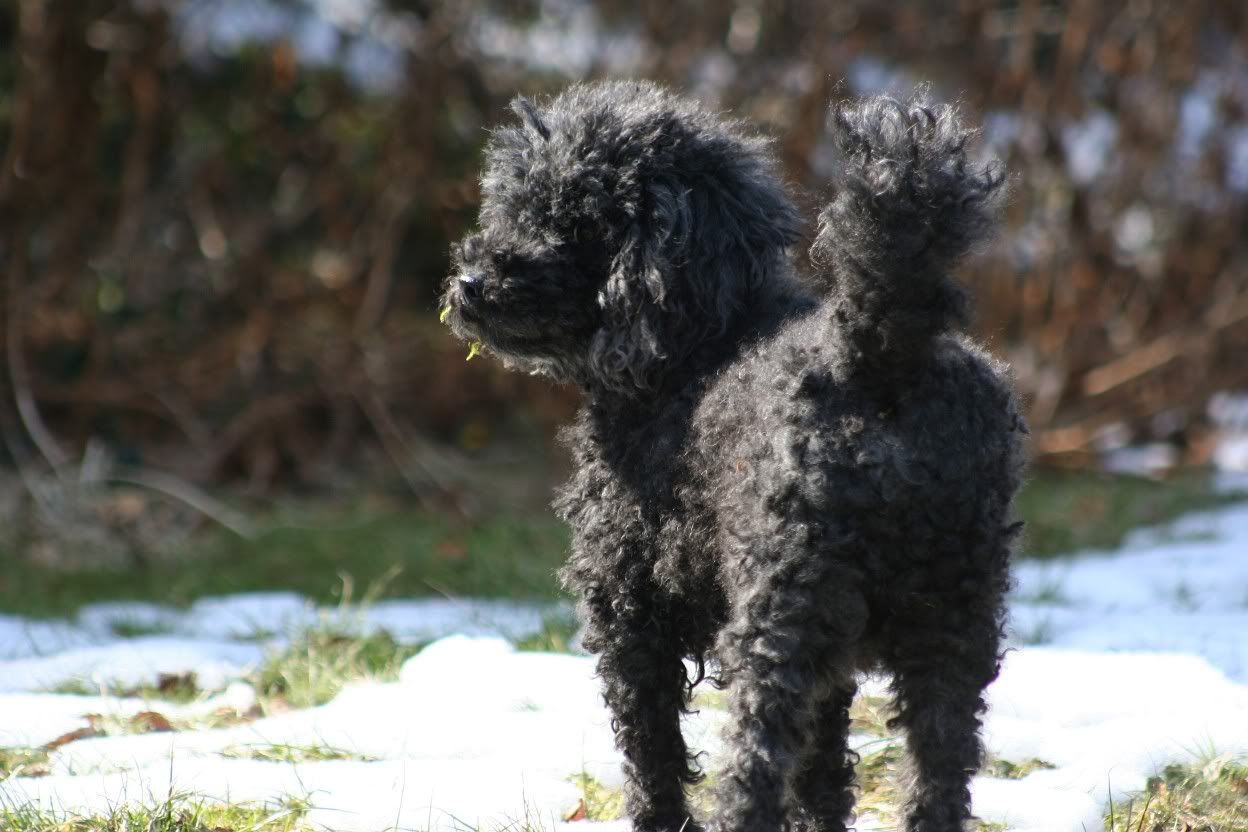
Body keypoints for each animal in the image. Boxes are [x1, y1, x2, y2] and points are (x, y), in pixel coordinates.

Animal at [441, 80, 1026, 832]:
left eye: (576, 218)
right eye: (512, 205)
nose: (470, 280)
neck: (697, 341)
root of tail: (880, 358)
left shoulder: (630, 612)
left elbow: (652, 752)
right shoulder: (837, 657)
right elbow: (823, 769)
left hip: (780, 609)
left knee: (756, 761)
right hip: (956, 614)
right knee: (942, 771)